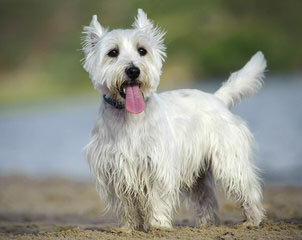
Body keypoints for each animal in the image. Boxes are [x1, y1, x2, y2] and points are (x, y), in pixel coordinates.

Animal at [81, 8, 266, 231]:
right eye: (113, 52)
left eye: (142, 50)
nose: (133, 70)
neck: (128, 118)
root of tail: (217, 98)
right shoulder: (115, 170)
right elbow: (125, 203)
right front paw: (128, 228)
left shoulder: (158, 165)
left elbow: (157, 198)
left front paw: (158, 225)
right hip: (198, 173)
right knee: (206, 198)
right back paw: (206, 224)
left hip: (229, 161)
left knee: (246, 189)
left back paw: (252, 220)